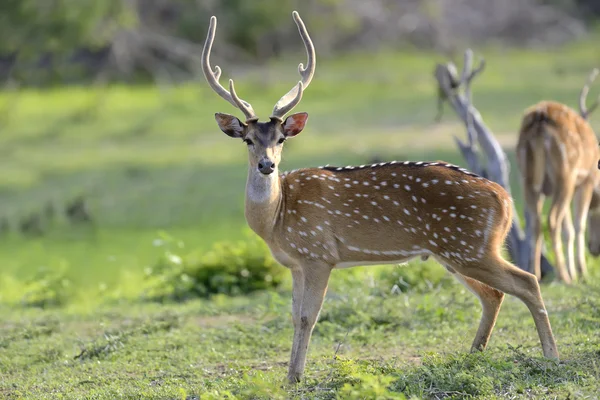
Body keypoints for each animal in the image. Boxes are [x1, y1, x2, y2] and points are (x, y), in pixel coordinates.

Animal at [202, 10, 556, 382]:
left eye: (281, 139)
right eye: (248, 140)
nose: (267, 165)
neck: (277, 219)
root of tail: (505, 198)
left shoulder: (319, 254)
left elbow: (308, 316)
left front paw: (297, 377)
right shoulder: (296, 263)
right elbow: (294, 316)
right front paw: (290, 377)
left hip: (469, 246)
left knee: (527, 281)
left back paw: (551, 355)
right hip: (456, 251)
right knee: (494, 294)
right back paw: (474, 354)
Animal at [516, 68, 600, 284]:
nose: (594, 249)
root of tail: (539, 123)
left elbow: (567, 229)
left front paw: (576, 271)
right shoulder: (585, 181)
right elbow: (578, 225)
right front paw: (581, 272)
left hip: (528, 178)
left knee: (535, 221)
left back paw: (535, 272)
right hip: (565, 175)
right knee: (552, 219)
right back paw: (564, 276)